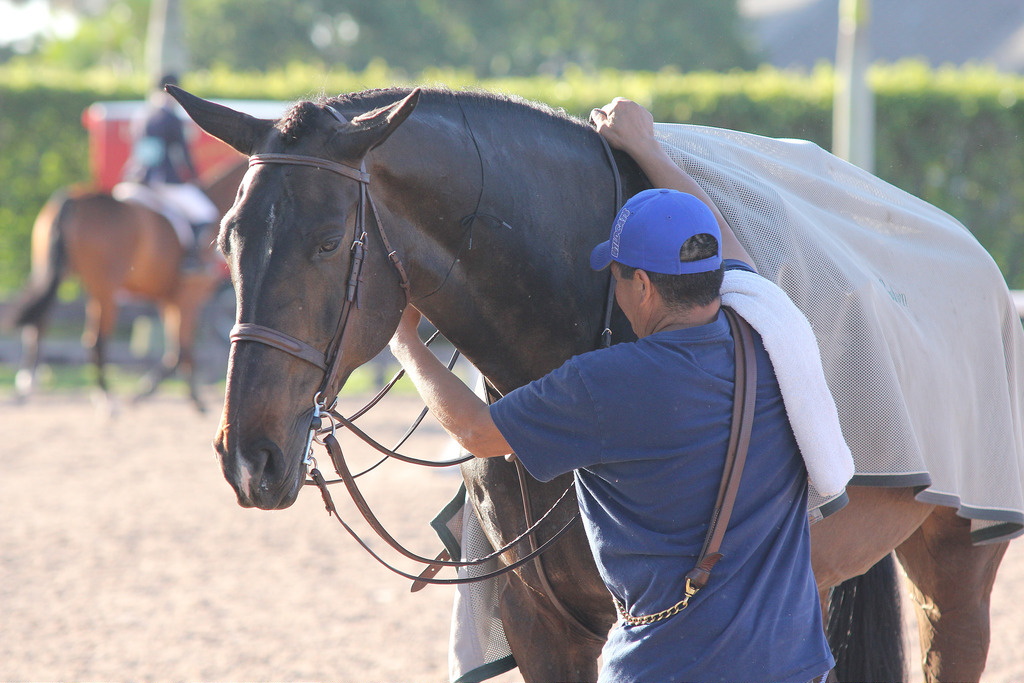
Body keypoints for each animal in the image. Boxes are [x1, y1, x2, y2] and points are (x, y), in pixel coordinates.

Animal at [5, 159, 246, 413]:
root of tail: (73, 198)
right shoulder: (188, 296)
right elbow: (182, 349)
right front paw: (156, 394)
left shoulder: (168, 299)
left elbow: (178, 349)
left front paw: (190, 398)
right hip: (105, 289)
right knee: (96, 340)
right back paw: (107, 400)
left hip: (55, 272)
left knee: (39, 324)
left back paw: (26, 386)